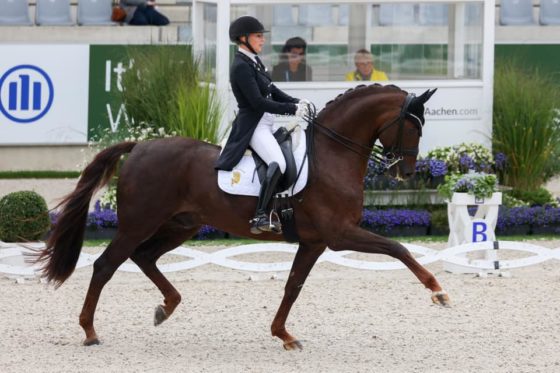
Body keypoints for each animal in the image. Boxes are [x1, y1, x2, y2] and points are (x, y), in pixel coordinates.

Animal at [32, 83, 448, 348]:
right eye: (412, 126)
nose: (405, 172)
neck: (332, 155)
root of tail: (139, 147)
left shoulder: (314, 242)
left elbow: (293, 286)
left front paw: (283, 335)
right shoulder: (339, 233)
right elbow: (398, 248)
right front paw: (438, 291)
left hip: (181, 225)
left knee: (145, 257)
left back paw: (166, 307)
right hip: (139, 223)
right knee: (106, 265)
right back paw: (89, 332)